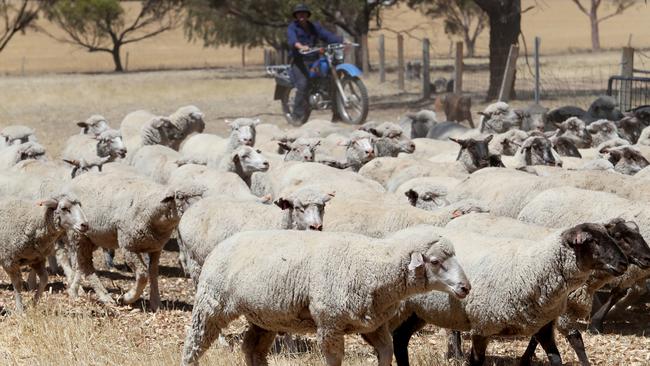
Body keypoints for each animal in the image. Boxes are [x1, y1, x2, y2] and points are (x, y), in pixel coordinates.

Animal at [61, 170, 190, 310]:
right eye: (180, 197)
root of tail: (74, 180)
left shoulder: (156, 248)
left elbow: (153, 273)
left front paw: (156, 303)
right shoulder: (128, 247)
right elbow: (143, 274)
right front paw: (127, 298)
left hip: (91, 238)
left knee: (81, 264)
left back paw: (80, 291)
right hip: (78, 234)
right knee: (84, 264)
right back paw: (97, 296)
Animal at [175, 187, 332, 284]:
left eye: (323, 207)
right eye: (298, 208)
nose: (316, 227)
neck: (278, 223)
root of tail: (192, 209)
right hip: (195, 259)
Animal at [180, 226, 468, 366]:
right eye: (434, 261)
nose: (466, 287)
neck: (371, 265)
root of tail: (222, 245)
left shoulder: (373, 324)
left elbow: (386, 353)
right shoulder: (330, 322)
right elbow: (334, 359)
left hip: (264, 315)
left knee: (252, 349)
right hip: (211, 303)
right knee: (193, 346)